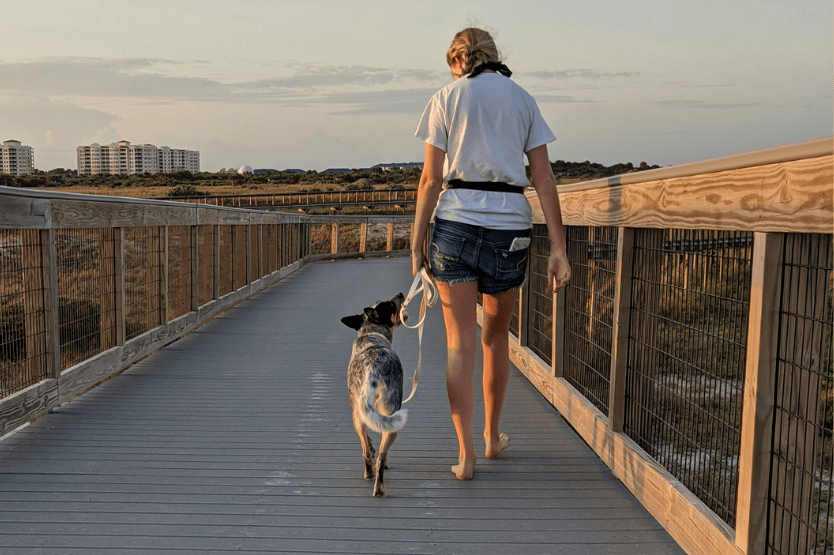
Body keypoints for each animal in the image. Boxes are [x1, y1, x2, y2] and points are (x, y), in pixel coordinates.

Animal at [340, 296, 408, 500]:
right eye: (390, 304)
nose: (400, 294)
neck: (371, 333)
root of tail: (372, 372)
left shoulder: (362, 413)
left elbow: (368, 442)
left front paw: (371, 446)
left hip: (357, 415)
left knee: (366, 452)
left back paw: (369, 476)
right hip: (393, 420)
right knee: (380, 458)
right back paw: (379, 488)